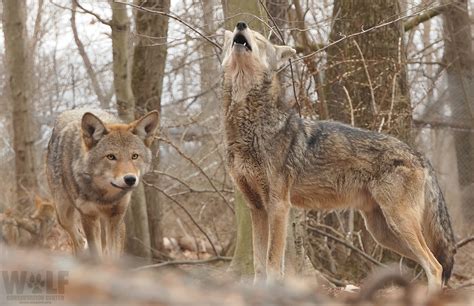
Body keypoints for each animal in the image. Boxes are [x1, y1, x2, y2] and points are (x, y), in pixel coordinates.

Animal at [222, 20, 456, 290]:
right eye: (239, 34)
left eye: (259, 39)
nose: (240, 24)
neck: (248, 128)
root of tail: (419, 155)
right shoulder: (257, 208)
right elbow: (259, 264)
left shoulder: (279, 206)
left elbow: (271, 263)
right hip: (384, 232)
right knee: (430, 264)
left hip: (398, 223)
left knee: (435, 266)